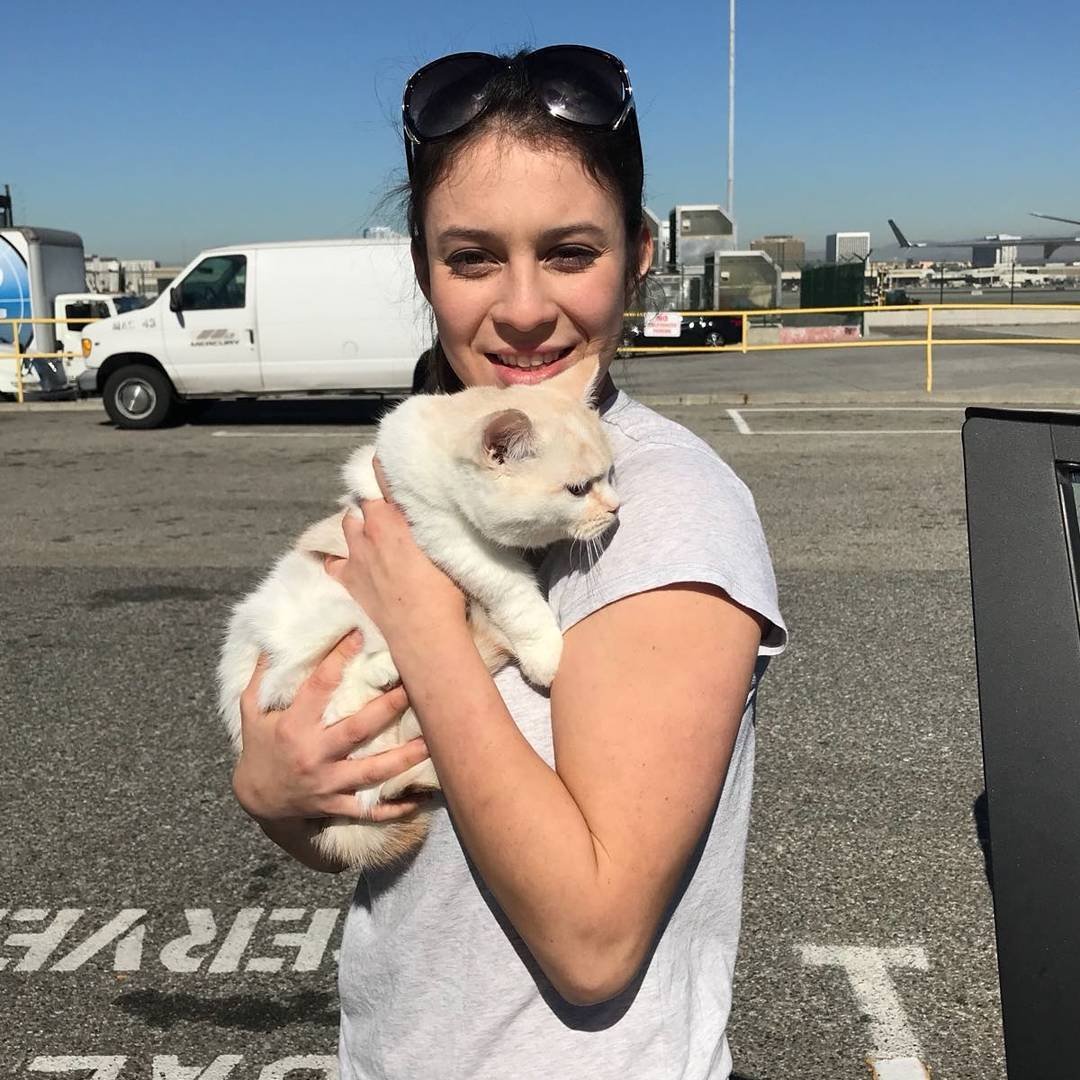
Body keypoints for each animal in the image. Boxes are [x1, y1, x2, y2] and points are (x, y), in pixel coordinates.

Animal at [217, 358, 617, 872]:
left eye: (610, 475)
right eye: (577, 489)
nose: (616, 508)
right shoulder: (441, 532)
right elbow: (511, 587)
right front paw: (544, 649)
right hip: (321, 606)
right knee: (303, 687)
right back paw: (378, 672)